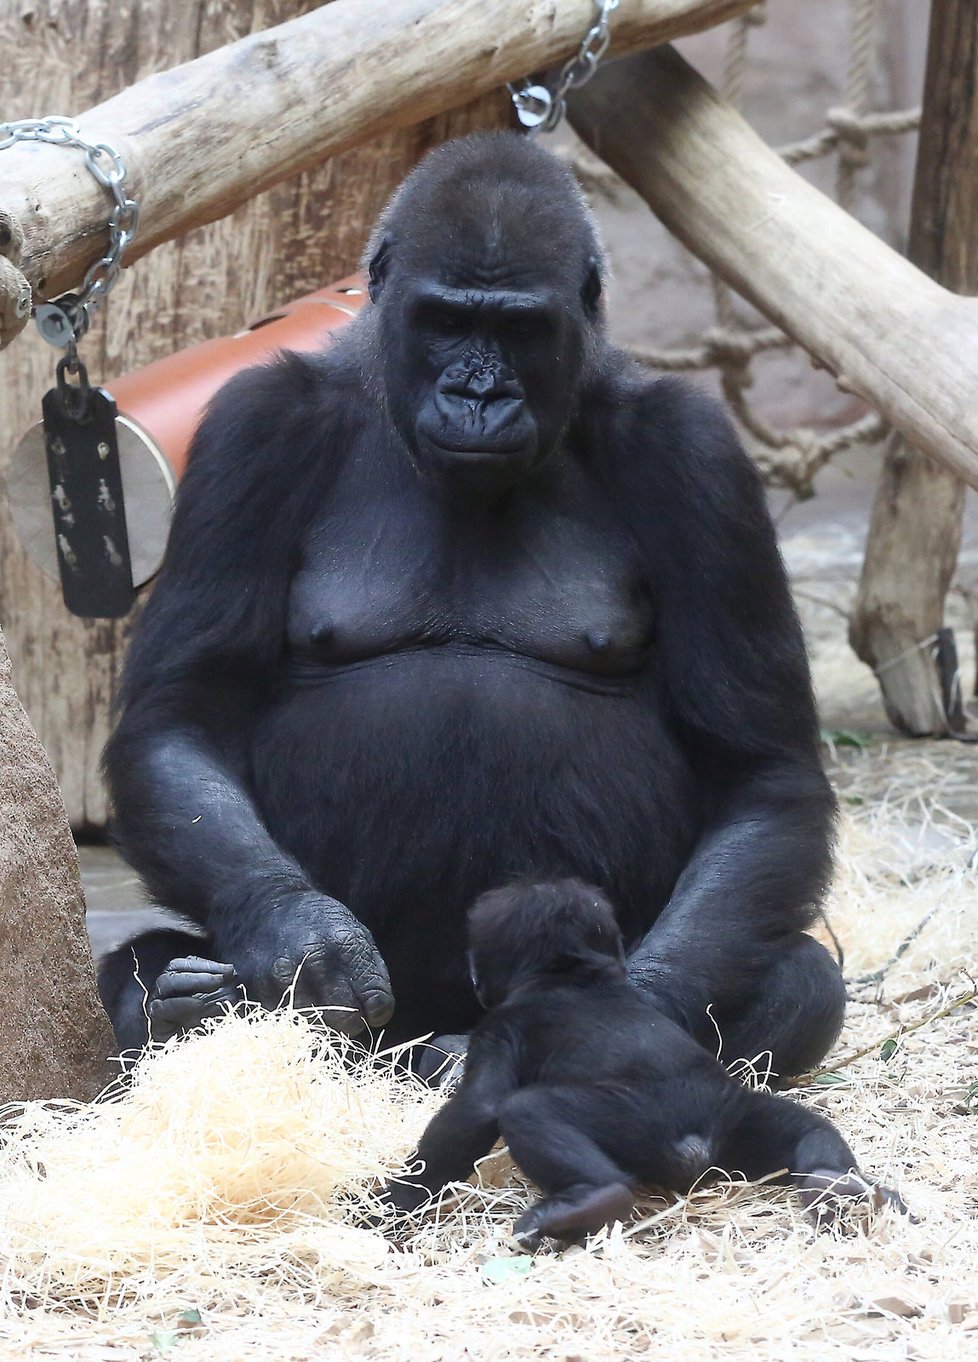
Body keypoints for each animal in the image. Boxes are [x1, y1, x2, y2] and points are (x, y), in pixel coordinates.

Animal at [101, 132, 849, 1078]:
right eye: (447, 322)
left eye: (519, 329)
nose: (479, 395)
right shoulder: (253, 429)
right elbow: (181, 718)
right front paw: (304, 942)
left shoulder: (698, 453)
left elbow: (762, 771)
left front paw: (619, 1021)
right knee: (133, 971)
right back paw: (185, 999)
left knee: (802, 981)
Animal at [389, 877, 904, 1247]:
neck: (568, 972)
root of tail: (697, 1144)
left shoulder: (499, 1029)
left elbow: (477, 1109)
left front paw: (395, 1201)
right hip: (741, 1116)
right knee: (806, 1128)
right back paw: (839, 1185)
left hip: (634, 1123)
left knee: (530, 1112)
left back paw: (592, 1201)